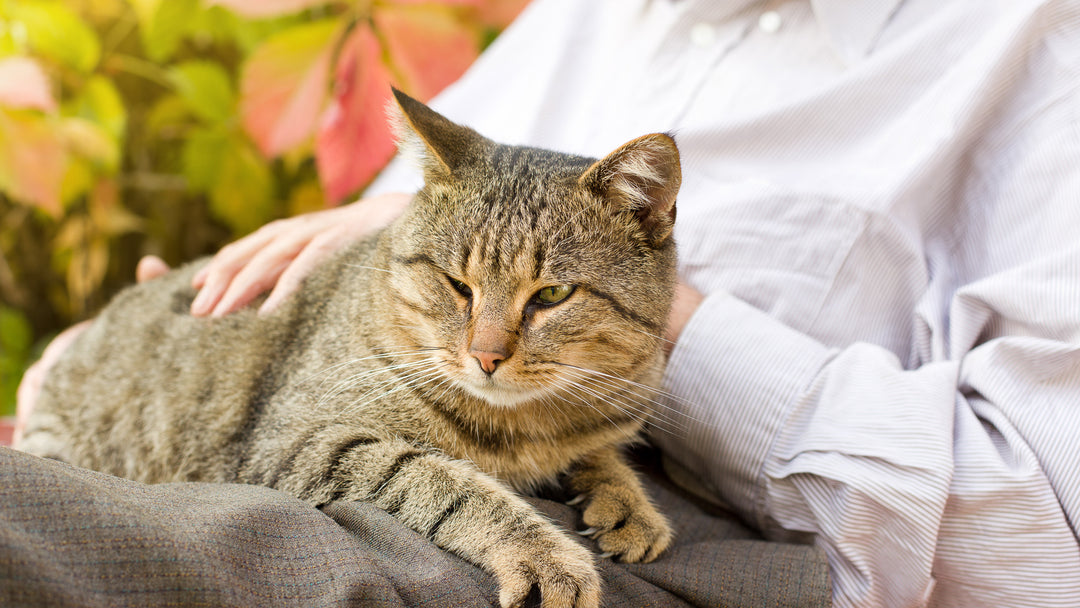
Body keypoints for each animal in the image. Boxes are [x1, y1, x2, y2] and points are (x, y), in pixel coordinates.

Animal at [19, 89, 682, 608]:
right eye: (456, 284)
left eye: (552, 293)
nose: (487, 357)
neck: (524, 426)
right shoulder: (301, 441)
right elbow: (445, 481)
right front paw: (546, 554)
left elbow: (601, 454)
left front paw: (628, 501)